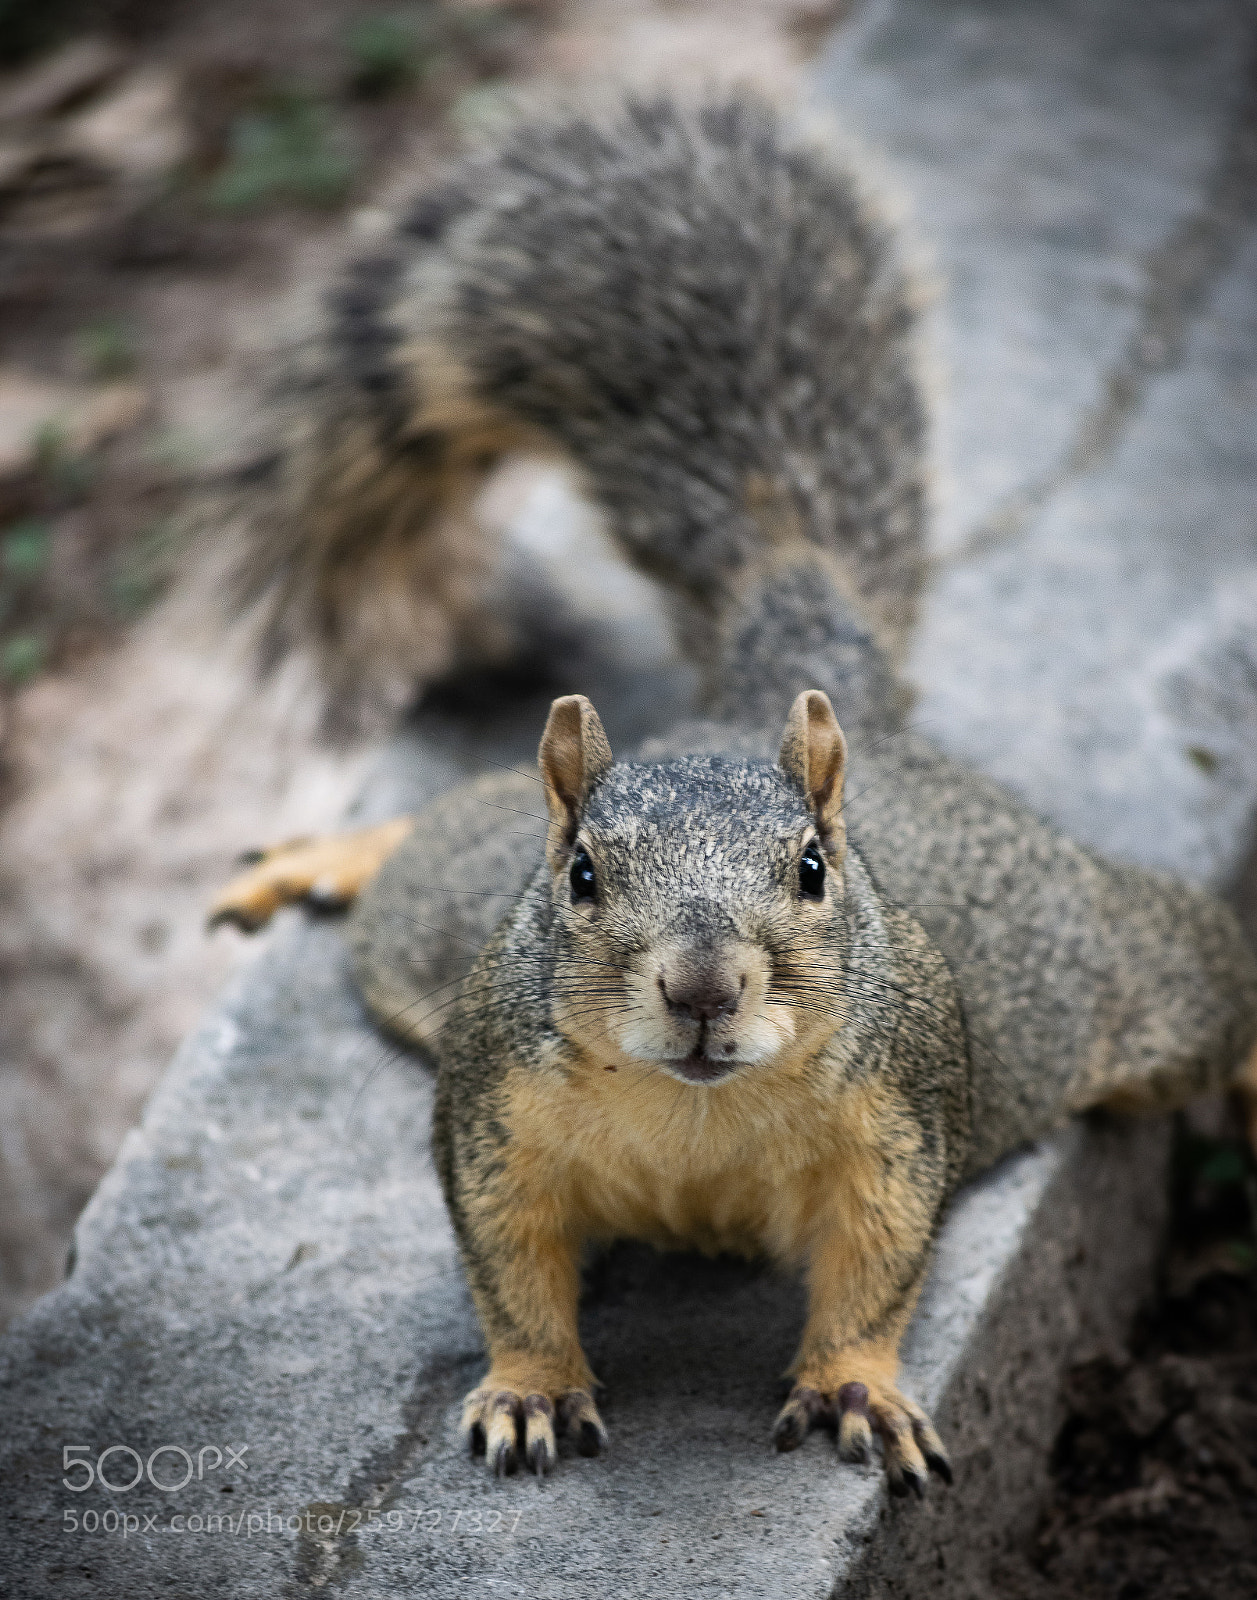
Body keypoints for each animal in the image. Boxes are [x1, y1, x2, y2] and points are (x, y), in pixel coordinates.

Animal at [210, 96, 1257, 1495]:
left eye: (813, 869)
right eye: (583, 875)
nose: (704, 989)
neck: (694, 1113)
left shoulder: (899, 1125)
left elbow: (877, 1267)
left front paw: (857, 1385)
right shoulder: (489, 1118)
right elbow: (509, 1268)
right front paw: (530, 1388)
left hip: (1130, 979)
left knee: (1212, 983)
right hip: (435, 929)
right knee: (441, 833)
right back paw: (328, 854)